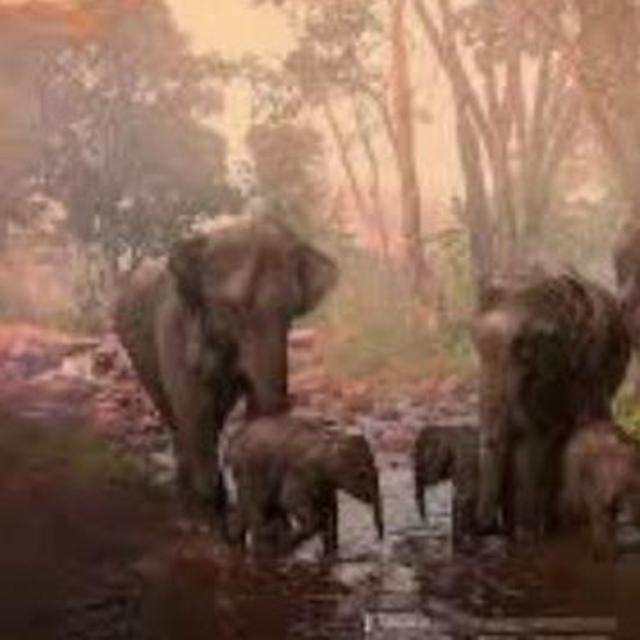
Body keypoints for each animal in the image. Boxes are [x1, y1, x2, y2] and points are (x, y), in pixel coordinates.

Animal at [113, 215, 338, 532]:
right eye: (232, 309)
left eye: (290, 312)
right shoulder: (174, 325)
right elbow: (194, 409)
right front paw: (209, 519)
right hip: (138, 354)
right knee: (178, 416)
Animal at [225, 413, 384, 557]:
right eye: (362, 474)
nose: (379, 538)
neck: (330, 437)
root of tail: (233, 441)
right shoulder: (300, 473)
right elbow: (291, 501)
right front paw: (289, 545)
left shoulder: (325, 483)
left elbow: (331, 510)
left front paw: (330, 554)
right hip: (250, 471)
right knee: (257, 508)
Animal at [471, 270, 630, 540]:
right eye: (476, 348)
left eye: (525, 351)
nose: (487, 527)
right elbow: (535, 437)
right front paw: (529, 534)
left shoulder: (589, 366)